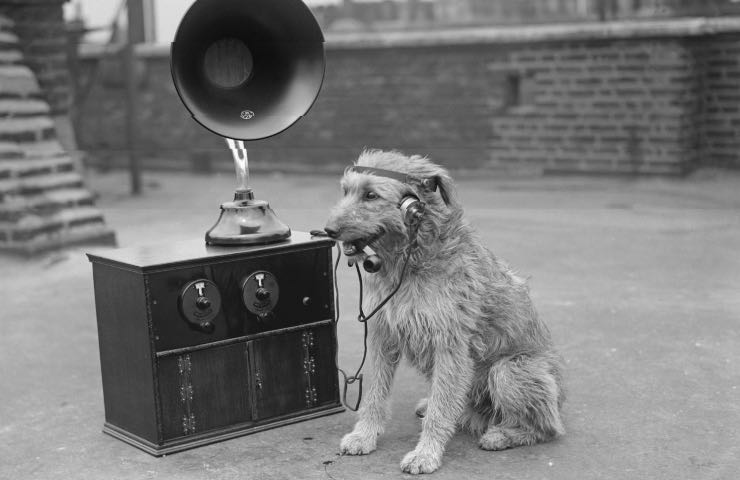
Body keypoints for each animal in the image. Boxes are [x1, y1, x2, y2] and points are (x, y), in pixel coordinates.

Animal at [326, 151, 568, 476]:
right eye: (345, 191)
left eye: (371, 195)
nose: (328, 230)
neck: (410, 260)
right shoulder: (382, 337)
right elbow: (375, 394)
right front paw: (364, 435)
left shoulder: (449, 346)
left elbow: (440, 412)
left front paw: (425, 454)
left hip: (509, 371)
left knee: (548, 427)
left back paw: (503, 434)